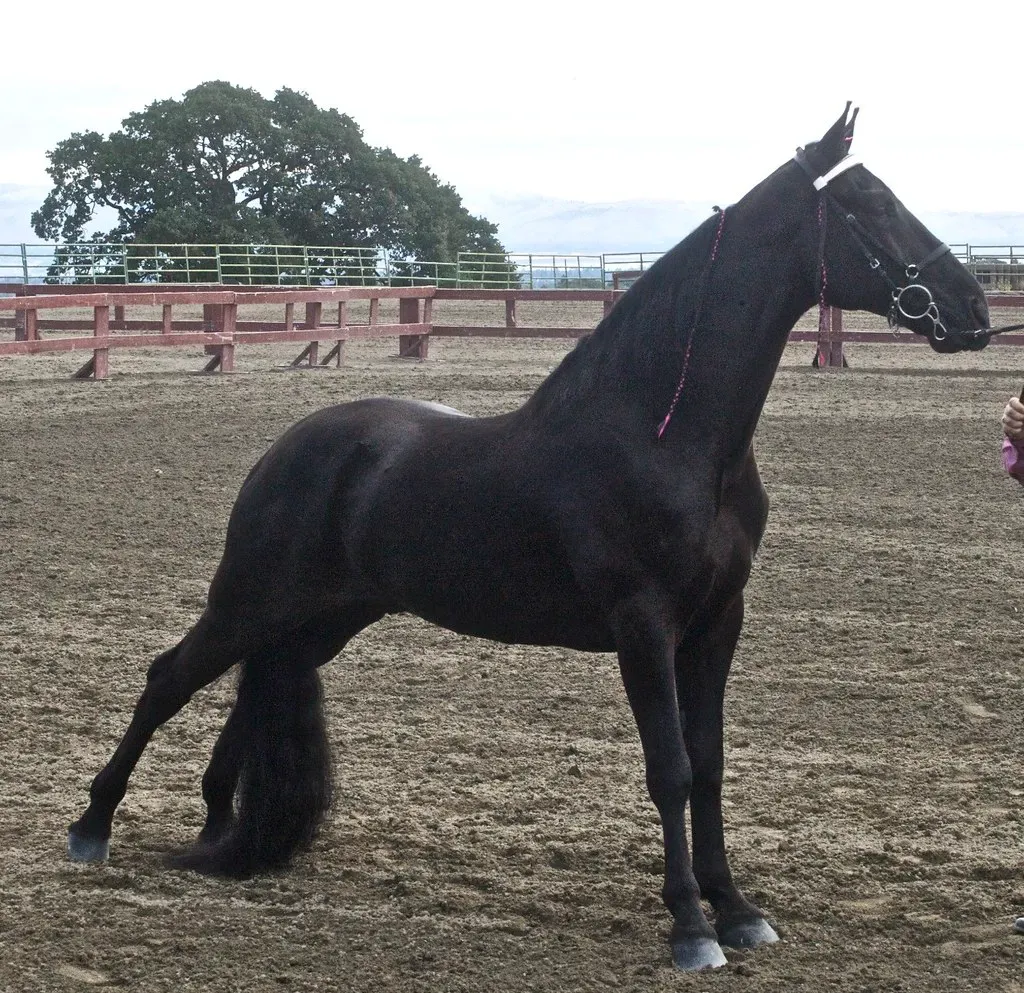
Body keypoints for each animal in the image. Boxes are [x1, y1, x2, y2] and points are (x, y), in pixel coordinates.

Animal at [66, 105, 992, 971]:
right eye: (871, 205)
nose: (976, 308)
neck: (667, 436)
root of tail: (288, 446)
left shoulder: (718, 622)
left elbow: (711, 763)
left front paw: (736, 908)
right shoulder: (644, 626)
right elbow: (670, 769)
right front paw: (691, 925)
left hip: (318, 620)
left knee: (248, 694)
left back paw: (221, 833)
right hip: (250, 600)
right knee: (168, 678)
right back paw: (92, 825)